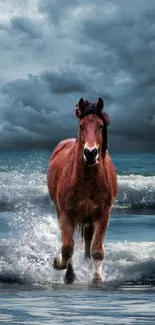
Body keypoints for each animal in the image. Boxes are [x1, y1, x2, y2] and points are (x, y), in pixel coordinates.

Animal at [47, 97, 117, 284]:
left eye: (100, 125)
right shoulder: (66, 214)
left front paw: (97, 279)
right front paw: (59, 265)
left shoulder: (102, 215)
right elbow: (67, 247)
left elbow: (97, 250)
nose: (90, 153)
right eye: (81, 125)